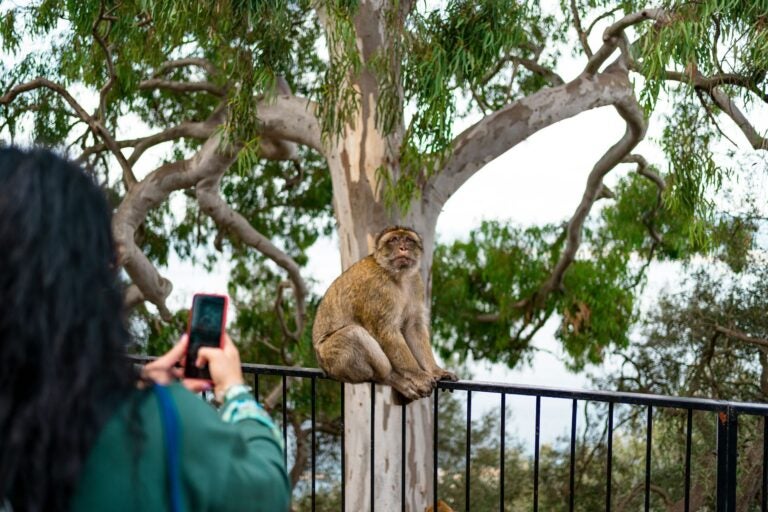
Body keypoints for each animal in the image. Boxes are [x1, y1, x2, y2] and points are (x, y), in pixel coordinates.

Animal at [312, 226, 458, 403]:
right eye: (394, 240)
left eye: (408, 240)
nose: (403, 248)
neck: (396, 275)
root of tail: (322, 366)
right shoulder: (377, 290)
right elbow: (386, 331)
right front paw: (418, 375)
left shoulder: (415, 282)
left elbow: (413, 327)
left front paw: (436, 370)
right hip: (331, 360)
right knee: (354, 334)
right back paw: (391, 378)